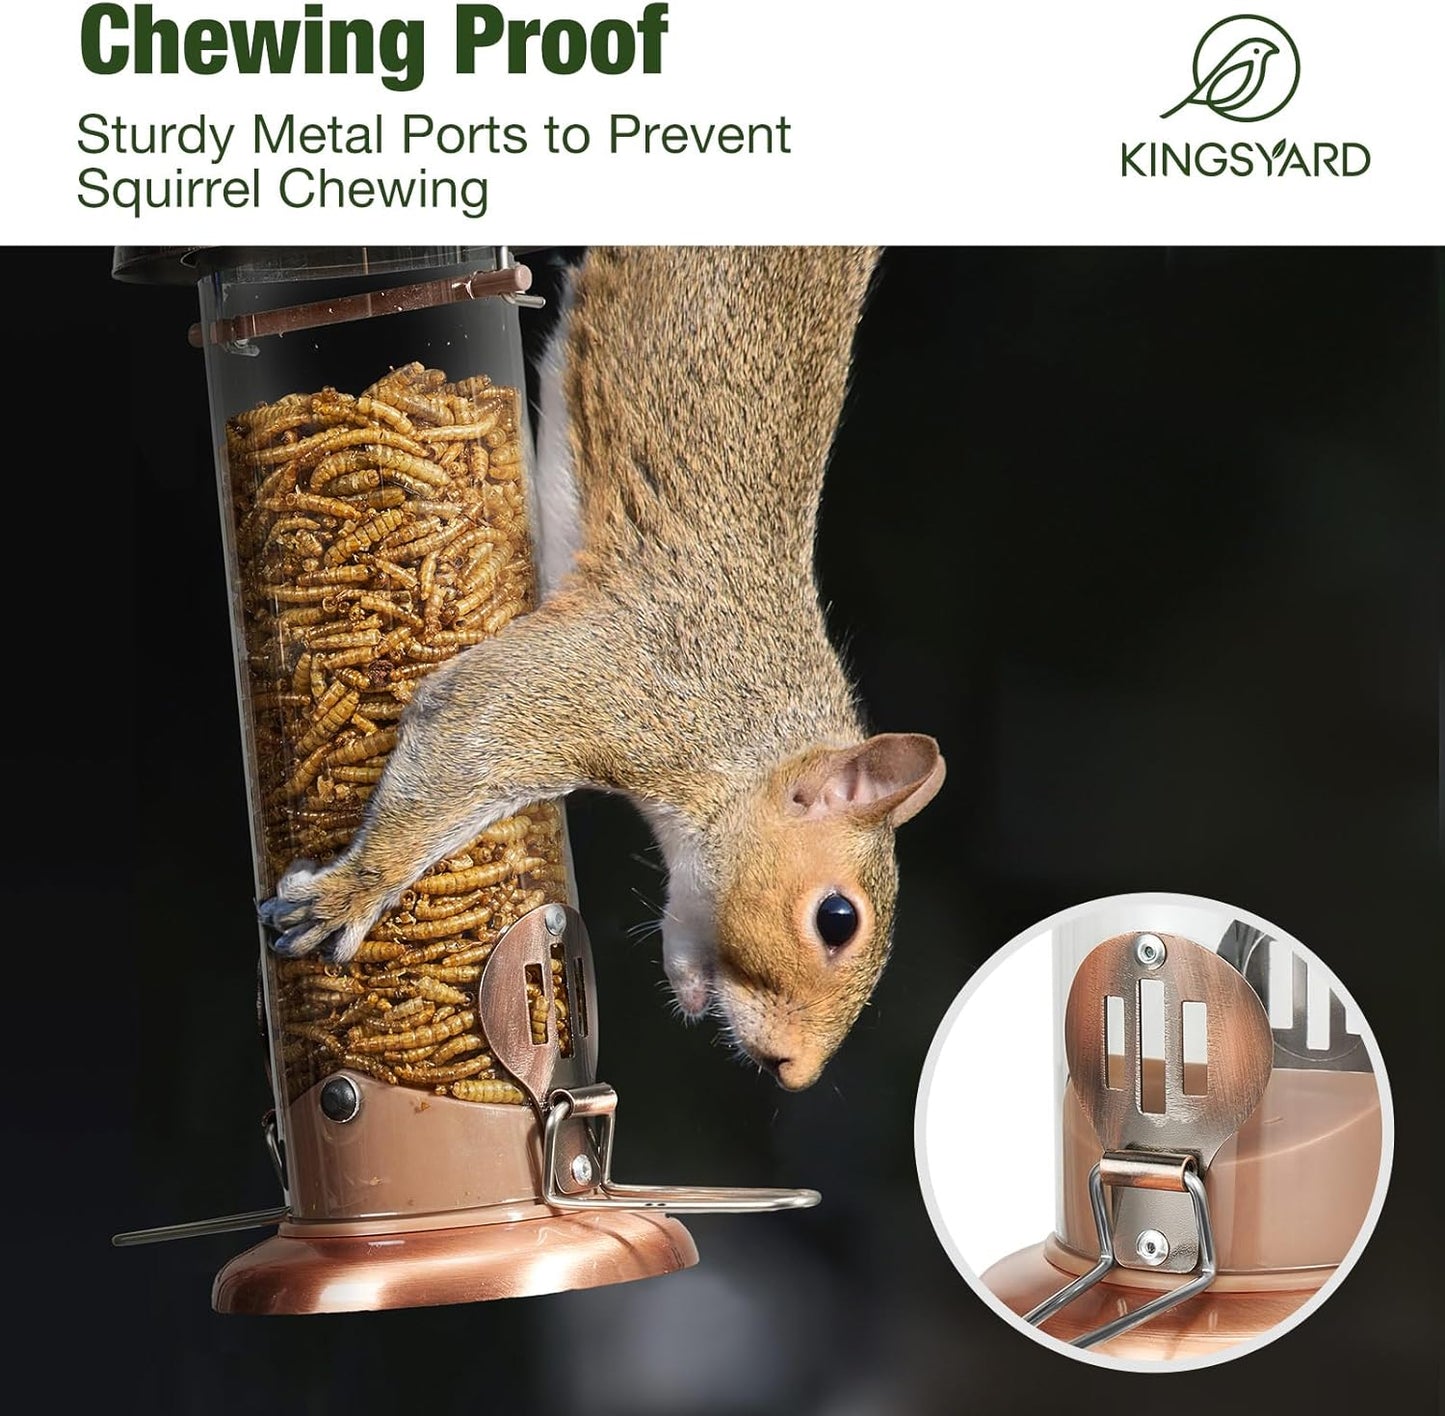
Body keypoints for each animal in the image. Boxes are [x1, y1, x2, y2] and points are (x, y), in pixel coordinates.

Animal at [260, 246, 945, 1090]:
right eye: (837, 919)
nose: (795, 1073)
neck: (742, 729)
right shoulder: (624, 684)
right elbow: (469, 731)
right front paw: (349, 893)